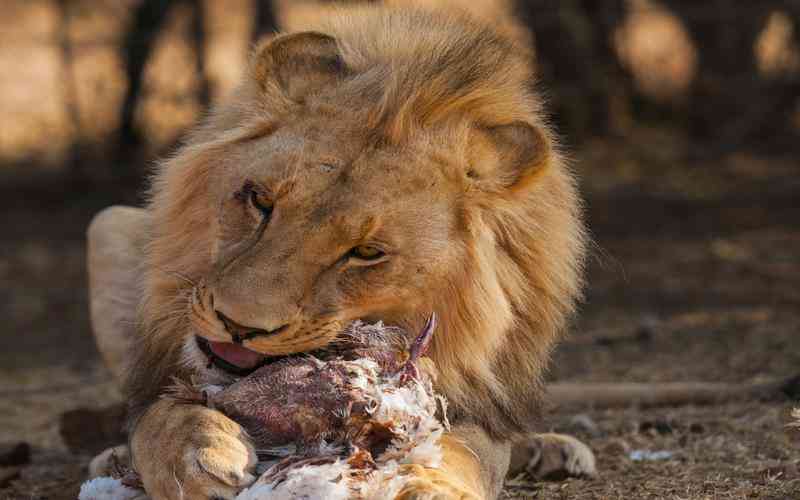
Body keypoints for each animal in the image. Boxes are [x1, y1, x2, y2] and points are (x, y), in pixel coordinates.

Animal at [89, 1, 600, 498]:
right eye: (259, 200)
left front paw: (429, 483)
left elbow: (465, 448)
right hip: (107, 223)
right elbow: (158, 416)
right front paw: (199, 451)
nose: (238, 326)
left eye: (367, 252)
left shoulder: (472, 400)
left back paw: (553, 448)